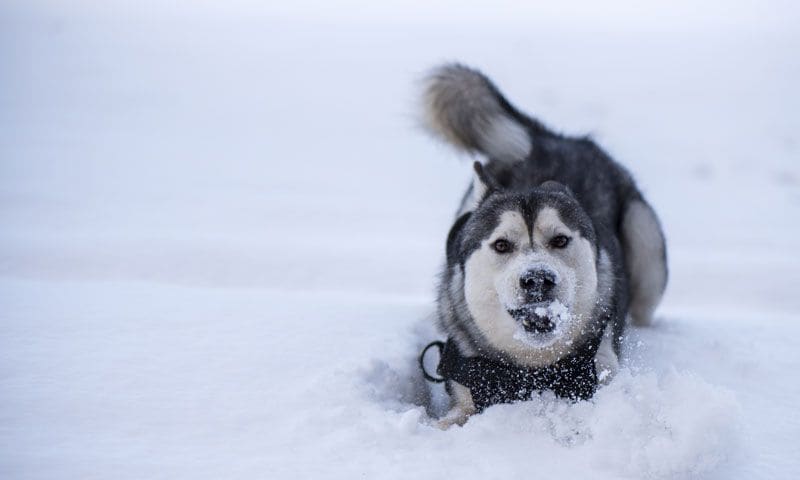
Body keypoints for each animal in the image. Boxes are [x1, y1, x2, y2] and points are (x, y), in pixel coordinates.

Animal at [418, 63, 668, 428]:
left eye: (560, 240)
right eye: (502, 245)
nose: (537, 279)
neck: (531, 372)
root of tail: (553, 139)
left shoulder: (599, 371)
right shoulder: (465, 384)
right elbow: (451, 418)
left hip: (646, 241)